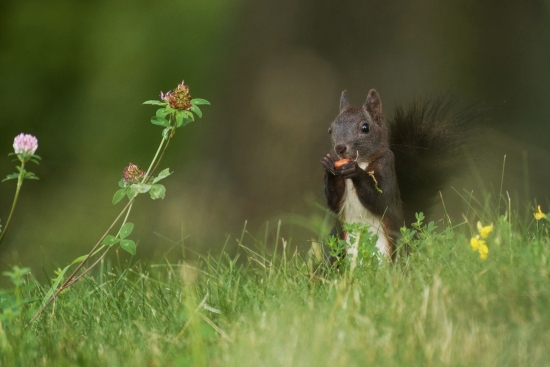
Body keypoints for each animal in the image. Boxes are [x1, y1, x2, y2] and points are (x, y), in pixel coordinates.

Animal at [322, 89, 480, 262]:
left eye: (365, 127)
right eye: (330, 129)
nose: (339, 148)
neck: (362, 161)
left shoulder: (386, 167)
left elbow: (381, 199)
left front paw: (355, 171)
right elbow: (334, 202)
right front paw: (329, 165)